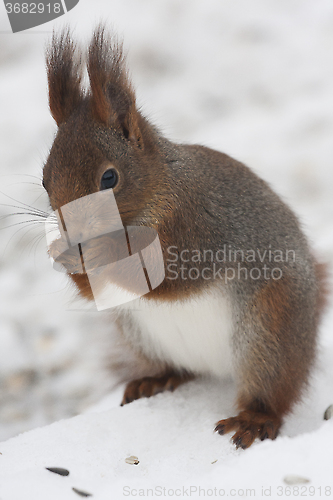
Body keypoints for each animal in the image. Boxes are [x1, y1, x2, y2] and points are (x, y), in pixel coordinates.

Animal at [42, 26, 326, 450]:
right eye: (45, 180)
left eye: (109, 178)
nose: (73, 235)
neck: (161, 190)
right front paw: (64, 256)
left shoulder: (199, 227)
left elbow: (169, 277)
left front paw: (98, 252)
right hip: (142, 336)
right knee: (179, 369)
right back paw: (155, 380)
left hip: (270, 328)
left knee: (272, 390)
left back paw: (254, 419)